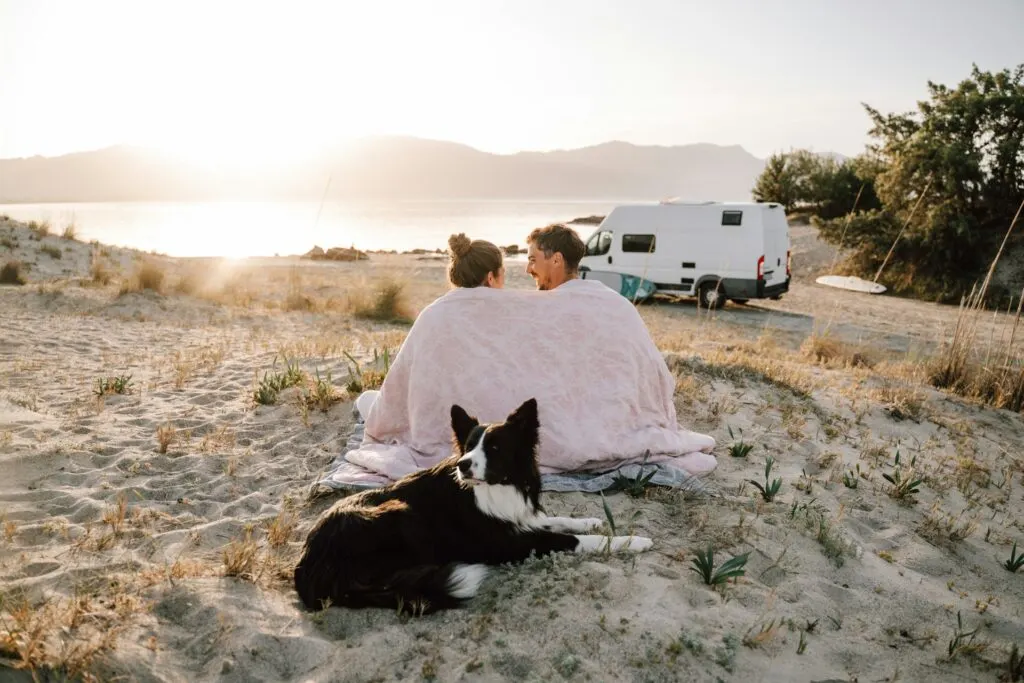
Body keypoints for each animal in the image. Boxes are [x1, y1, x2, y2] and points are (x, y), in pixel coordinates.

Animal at [292, 395, 651, 614]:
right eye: (467, 447)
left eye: (494, 447)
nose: (463, 465)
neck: (495, 488)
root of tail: (309, 570)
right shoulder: (508, 543)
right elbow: (572, 539)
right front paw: (633, 540)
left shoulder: (521, 519)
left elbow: (559, 520)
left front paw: (593, 520)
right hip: (399, 514)